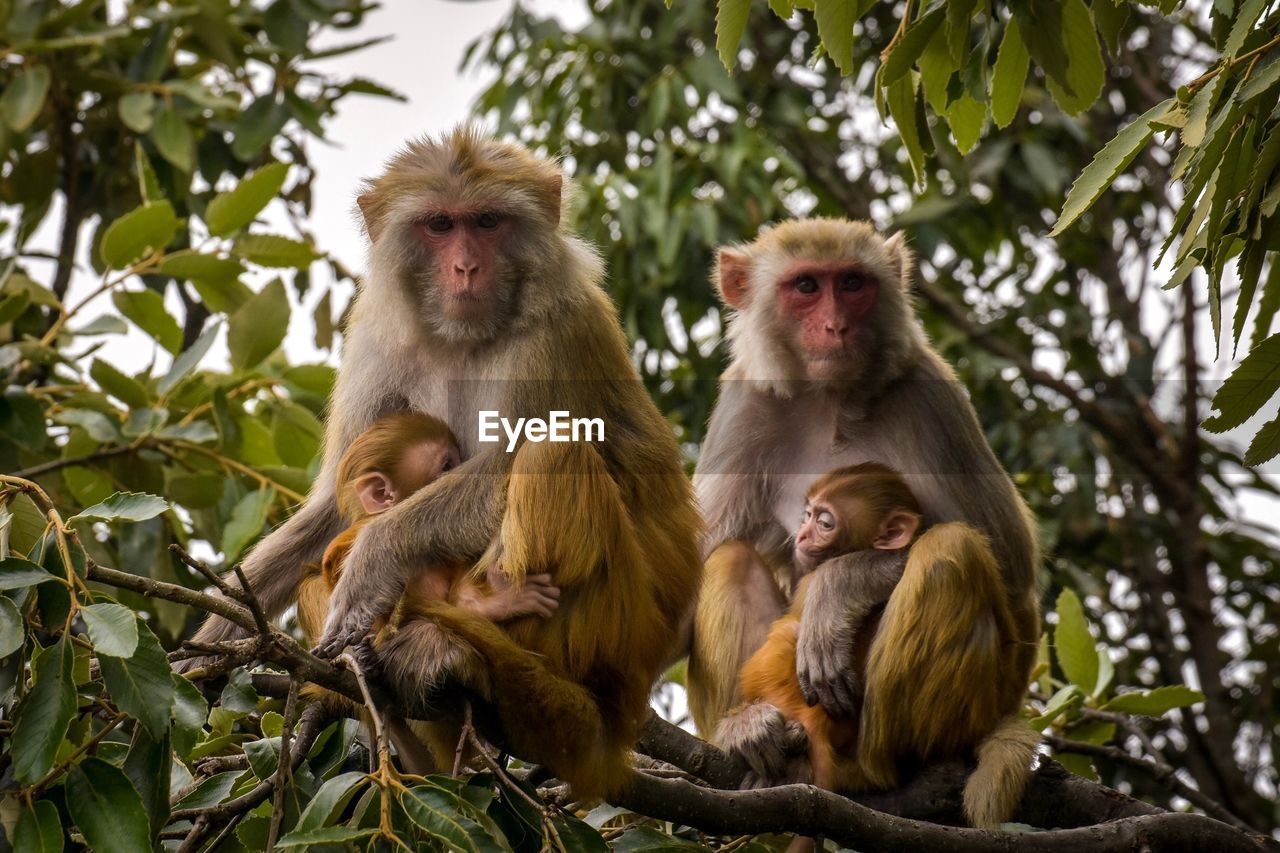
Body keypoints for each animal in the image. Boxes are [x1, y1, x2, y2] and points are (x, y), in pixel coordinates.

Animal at [181, 126, 706, 799]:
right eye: (439, 225)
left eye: (486, 222)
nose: (465, 267)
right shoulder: (375, 341)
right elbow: (335, 506)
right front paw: (207, 651)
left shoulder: (556, 336)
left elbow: (502, 468)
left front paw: (373, 560)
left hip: (611, 629)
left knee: (553, 446)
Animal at [691, 217, 1039, 824]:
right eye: (807, 286)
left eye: (852, 283)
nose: (836, 326)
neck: (832, 399)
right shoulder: (745, 406)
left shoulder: (933, 397)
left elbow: (1011, 565)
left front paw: (838, 587)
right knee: (730, 556)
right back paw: (755, 733)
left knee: (953, 552)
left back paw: (879, 766)